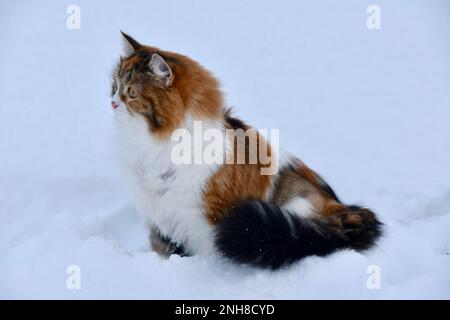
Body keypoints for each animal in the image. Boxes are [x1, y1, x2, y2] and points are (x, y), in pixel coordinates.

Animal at [110, 31, 382, 270]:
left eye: (131, 93)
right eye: (114, 86)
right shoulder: (158, 218)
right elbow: (162, 248)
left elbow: (211, 250)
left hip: (292, 207)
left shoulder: (205, 216)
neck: (155, 144)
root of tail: (346, 210)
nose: (112, 102)